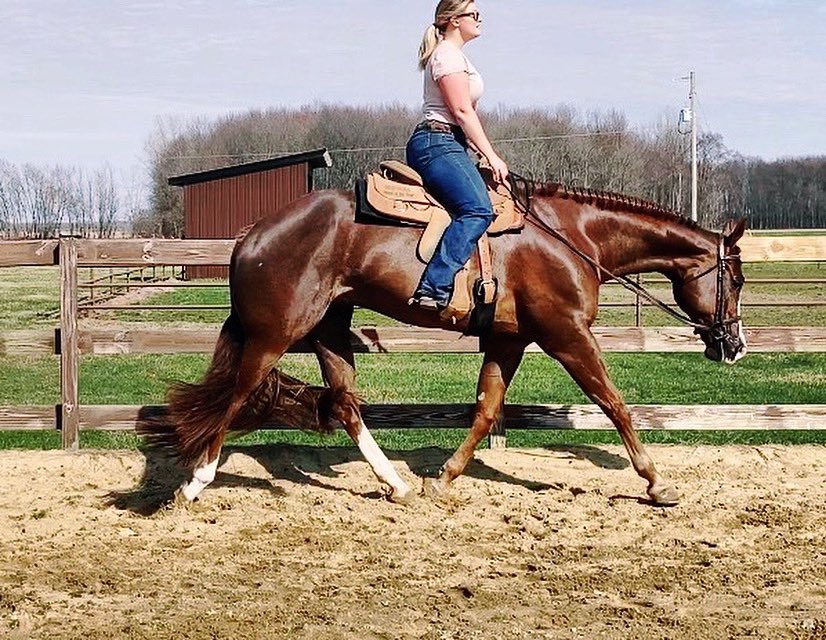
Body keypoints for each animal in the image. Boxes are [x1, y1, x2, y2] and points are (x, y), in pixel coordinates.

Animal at [144, 181, 747, 507]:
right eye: (737, 279)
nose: (734, 345)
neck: (573, 238)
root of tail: (252, 236)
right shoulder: (568, 336)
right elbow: (614, 404)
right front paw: (656, 482)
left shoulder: (509, 340)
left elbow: (485, 410)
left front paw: (445, 478)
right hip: (276, 334)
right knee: (236, 395)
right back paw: (194, 484)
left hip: (329, 330)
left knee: (344, 403)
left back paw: (396, 484)